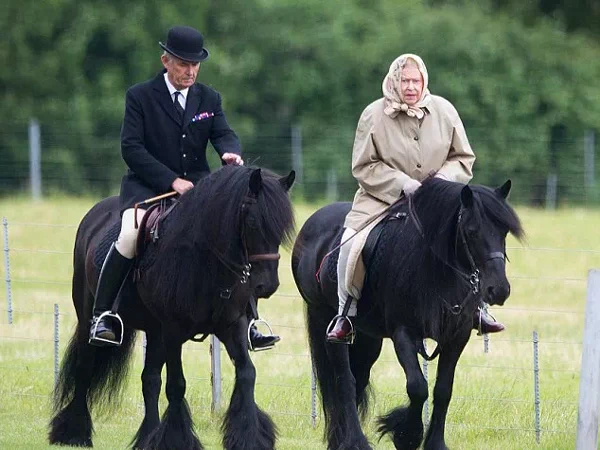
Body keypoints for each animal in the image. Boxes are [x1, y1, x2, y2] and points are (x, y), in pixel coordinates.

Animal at [49, 166, 296, 450]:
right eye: (253, 222)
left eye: (283, 228)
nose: (267, 285)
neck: (204, 260)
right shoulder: (173, 331)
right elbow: (177, 385)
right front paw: (177, 439)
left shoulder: (231, 325)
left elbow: (247, 374)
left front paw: (249, 437)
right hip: (92, 315)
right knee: (85, 367)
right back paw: (74, 433)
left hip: (154, 333)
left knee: (149, 380)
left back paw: (147, 436)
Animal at [292, 178, 524, 450]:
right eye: (471, 231)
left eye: (503, 231)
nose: (499, 290)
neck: (433, 267)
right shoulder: (403, 332)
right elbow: (417, 387)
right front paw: (406, 434)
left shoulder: (457, 336)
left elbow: (443, 390)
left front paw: (434, 442)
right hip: (325, 320)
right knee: (344, 382)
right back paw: (354, 441)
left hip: (368, 337)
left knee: (359, 376)